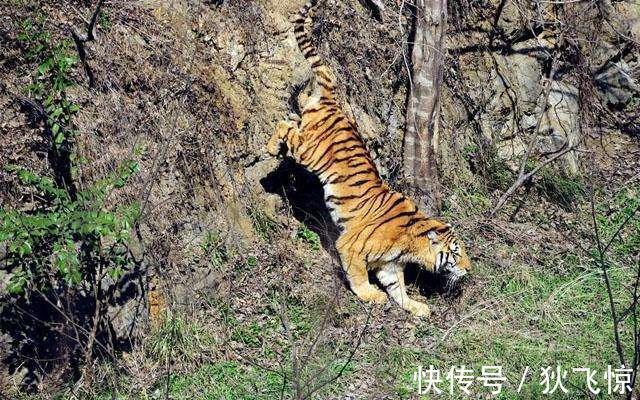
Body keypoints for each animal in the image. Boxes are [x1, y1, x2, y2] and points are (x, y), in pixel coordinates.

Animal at [266, 0, 471, 317]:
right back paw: (270, 148)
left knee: (292, 119)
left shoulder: (390, 264)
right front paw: (369, 296)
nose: (469, 269)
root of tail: (334, 101)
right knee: (285, 126)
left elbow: (398, 288)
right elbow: (359, 275)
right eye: (456, 254)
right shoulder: (350, 245)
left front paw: (416, 307)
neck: (411, 243)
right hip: (309, 152)